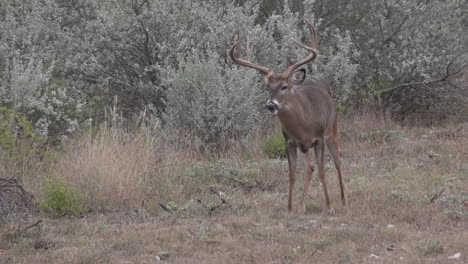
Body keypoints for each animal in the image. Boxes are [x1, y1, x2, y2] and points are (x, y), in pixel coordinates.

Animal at [231, 21, 348, 214]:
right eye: (268, 87)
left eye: (284, 86)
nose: (271, 105)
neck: (304, 123)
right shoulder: (290, 141)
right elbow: (293, 174)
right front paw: (290, 207)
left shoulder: (318, 138)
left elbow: (323, 170)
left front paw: (330, 206)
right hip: (305, 147)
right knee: (309, 167)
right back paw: (302, 206)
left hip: (333, 128)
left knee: (337, 160)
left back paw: (344, 199)